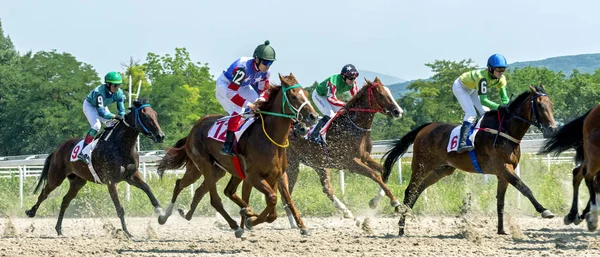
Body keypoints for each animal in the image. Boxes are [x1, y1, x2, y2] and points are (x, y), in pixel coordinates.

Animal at [24, 99, 165, 237]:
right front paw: (127, 232)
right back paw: (31, 212)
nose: (160, 136)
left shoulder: (131, 176)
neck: (120, 146)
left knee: (65, 201)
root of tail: (57, 149)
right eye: (145, 116)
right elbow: (119, 208)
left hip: (77, 182)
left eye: (155, 114)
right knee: (44, 193)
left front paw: (160, 211)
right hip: (56, 177)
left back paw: (59, 229)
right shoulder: (111, 182)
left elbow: (147, 188)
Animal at [157, 73, 322, 237]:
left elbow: (274, 210)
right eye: (293, 96)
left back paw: (180, 215)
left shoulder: (274, 177)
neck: (269, 139)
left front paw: (251, 218)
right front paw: (249, 219)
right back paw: (234, 225)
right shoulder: (253, 177)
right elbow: (272, 199)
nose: (313, 116)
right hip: (204, 166)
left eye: (305, 93)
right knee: (213, 198)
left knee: (194, 188)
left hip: (215, 170)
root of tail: (193, 130)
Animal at [276, 76, 404, 224]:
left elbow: (384, 171)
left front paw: (374, 202)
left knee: (326, 188)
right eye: (381, 94)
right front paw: (395, 202)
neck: (354, 126)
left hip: (318, 163)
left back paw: (345, 211)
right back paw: (293, 222)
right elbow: (375, 175)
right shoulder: (350, 162)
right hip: (292, 165)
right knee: (285, 192)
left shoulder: (365, 156)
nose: (398, 111)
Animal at [384, 85, 556, 235]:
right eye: (540, 105)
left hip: (442, 170)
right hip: (422, 165)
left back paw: (406, 217)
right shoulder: (503, 167)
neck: (505, 131)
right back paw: (401, 227)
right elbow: (524, 187)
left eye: (551, 104)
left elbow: (500, 201)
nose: (552, 129)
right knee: (410, 190)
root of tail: (425, 127)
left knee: (418, 189)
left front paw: (501, 230)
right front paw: (544, 210)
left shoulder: (503, 173)